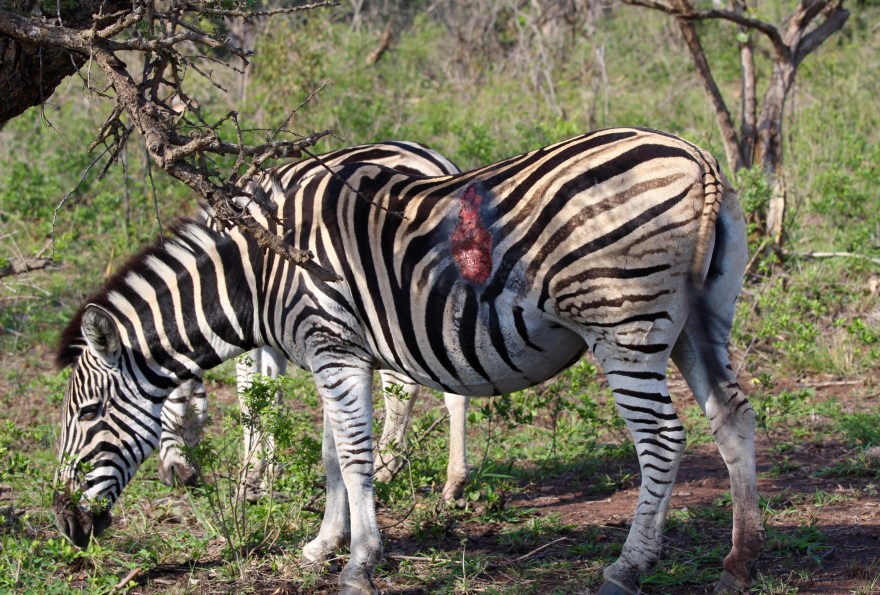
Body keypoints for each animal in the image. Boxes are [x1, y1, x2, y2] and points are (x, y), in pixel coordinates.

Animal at [155, 142, 471, 503]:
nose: (172, 479)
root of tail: (438, 165)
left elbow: (249, 396)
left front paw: (247, 480)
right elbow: (272, 394)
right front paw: (268, 475)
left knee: (402, 389)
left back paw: (384, 469)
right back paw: (454, 481)